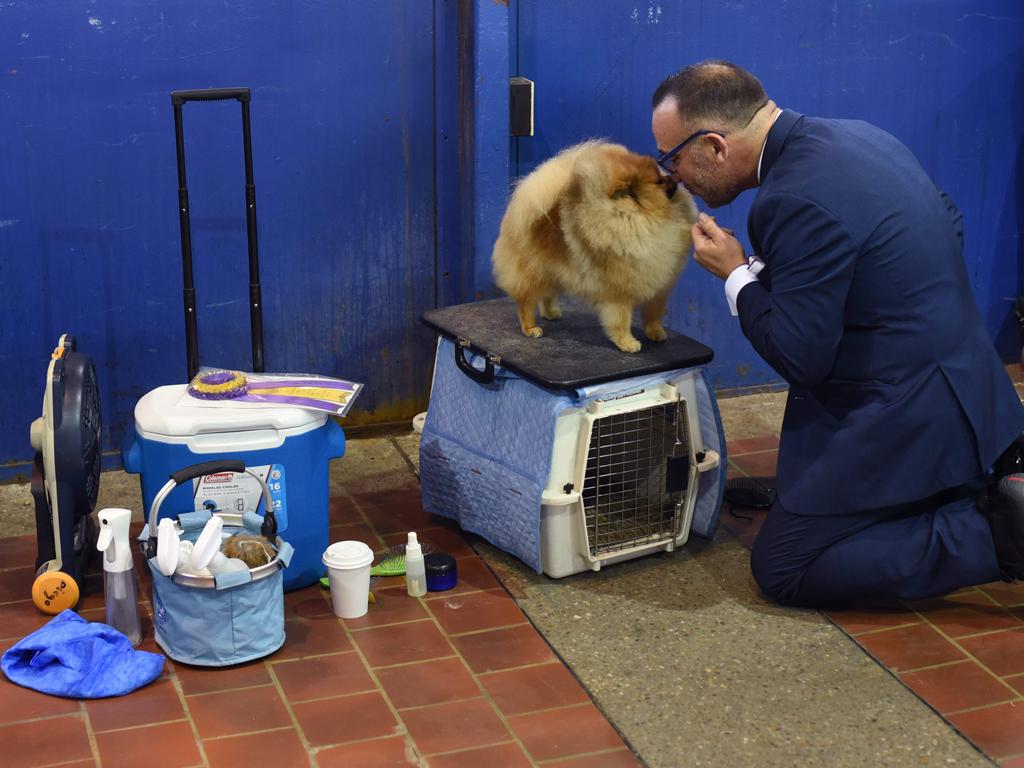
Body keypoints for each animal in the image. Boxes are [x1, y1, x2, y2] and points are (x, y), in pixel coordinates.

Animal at [491, 140, 700, 354]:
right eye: (659, 181)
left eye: (662, 175)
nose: (673, 178)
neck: (645, 215)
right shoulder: (620, 292)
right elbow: (621, 320)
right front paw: (627, 342)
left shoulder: (659, 286)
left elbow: (653, 313)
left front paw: (655, 332)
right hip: (534, 273)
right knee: (526, 302)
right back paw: (530, 328)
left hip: (553, 271)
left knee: (547, 295)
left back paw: (550, 312)